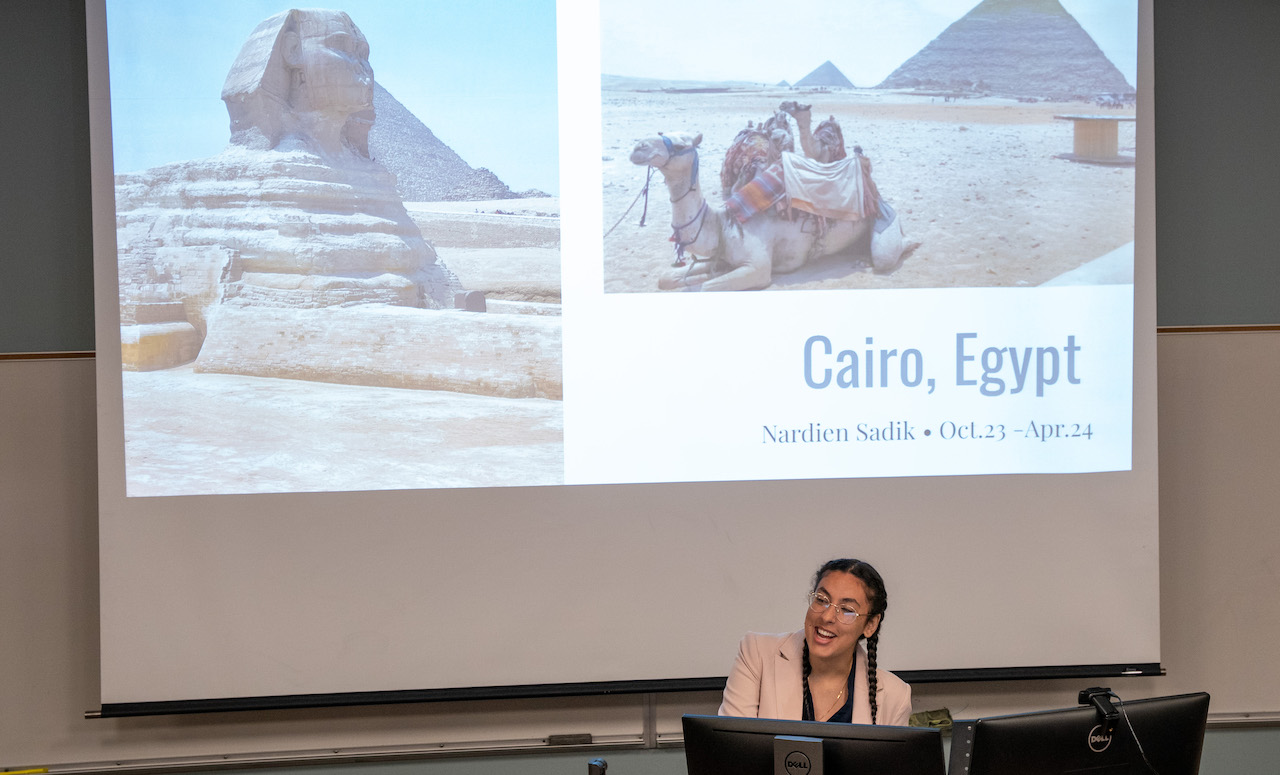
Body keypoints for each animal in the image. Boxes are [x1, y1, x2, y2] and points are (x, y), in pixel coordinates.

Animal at [627, 131, 906, 292]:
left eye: (677, 145)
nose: (638, 147)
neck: (723, 224)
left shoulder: (758, 267)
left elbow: (707, 287)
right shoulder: (723, 257)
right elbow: (665, 278)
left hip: (884, 218)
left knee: (886, 255)